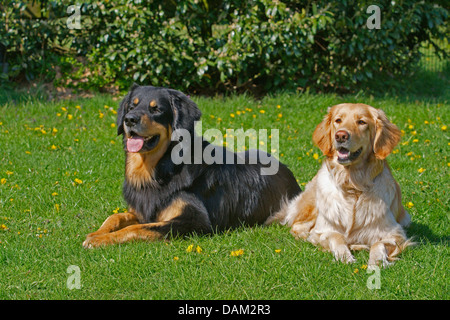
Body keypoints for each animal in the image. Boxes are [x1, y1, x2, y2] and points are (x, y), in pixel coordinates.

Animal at [82, 84, 300, 248]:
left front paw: (102, 239)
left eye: (156, 109)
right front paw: (97, 233)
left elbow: (137, 228)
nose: (129, 119)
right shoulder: (140, 212)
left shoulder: (195, 221)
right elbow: (115, 216)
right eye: (130, 107)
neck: (161, 170)